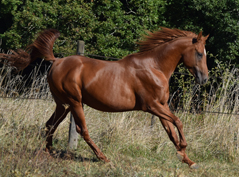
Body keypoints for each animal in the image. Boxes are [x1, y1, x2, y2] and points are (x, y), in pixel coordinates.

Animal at [0, 27, 209, 169]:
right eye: (199, 53)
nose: (204, 79)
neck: (154, 67)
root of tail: (56, 61)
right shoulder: (152, 106)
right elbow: (178, 122)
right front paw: (183, 149)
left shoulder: (161, 106)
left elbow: (170, 131)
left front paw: (187, 159)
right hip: (75, 102)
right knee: (81, 129)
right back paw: (103, 158)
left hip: (63, 104)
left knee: (51, 124)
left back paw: (48, 153)